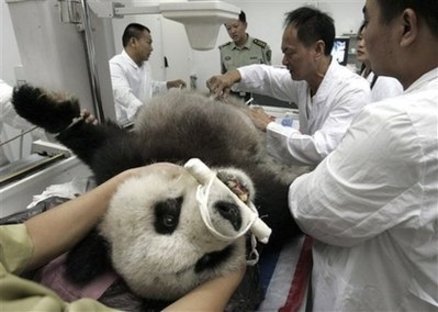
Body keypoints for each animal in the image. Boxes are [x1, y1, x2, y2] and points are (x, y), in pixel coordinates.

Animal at [12, 84, 308, 310]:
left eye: (168, 216)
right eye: (208, 260)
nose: (231, 212)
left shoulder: (125, 164)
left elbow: (101, 144)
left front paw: (33, 104)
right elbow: (289, 209)